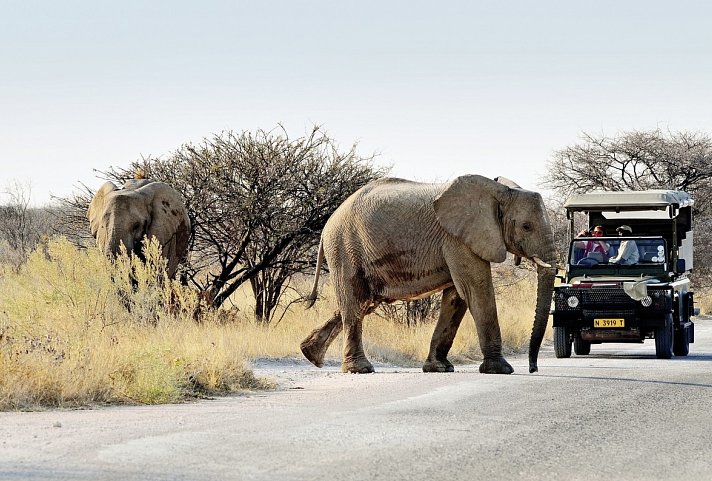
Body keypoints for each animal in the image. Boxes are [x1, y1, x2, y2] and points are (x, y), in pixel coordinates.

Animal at [300, 174, 556, 374]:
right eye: (526, 227)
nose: (533, 368)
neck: (499, 190)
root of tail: (327, 225)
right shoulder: (457, 238)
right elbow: (475, 289)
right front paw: (500, 369)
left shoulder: (459, 239)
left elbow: (457, 296)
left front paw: (439, 368)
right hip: (344, 248)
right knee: (354, 302)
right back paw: (359, 369)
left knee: (363, 303)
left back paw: (310, 355)